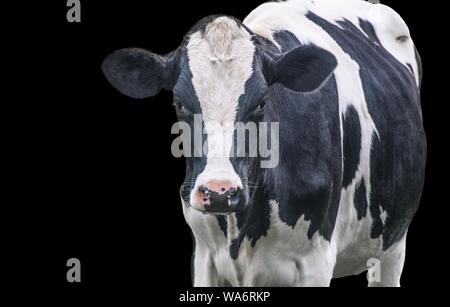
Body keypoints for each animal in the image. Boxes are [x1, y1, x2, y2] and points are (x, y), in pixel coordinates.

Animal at [101, 0, 426, 288]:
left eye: (261, 103)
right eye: (179, 104)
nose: (220, 192)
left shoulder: (316, 261)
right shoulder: (204, 256)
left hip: (392, 246)